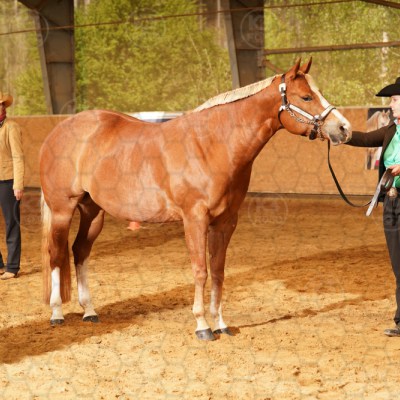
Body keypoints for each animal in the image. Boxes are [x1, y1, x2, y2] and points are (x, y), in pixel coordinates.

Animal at [40, 59, 352, 341]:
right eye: (306, 96)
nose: (344, 128)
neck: (211, 145)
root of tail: (58, 132)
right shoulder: (194, 220)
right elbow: (200, 271)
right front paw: (202, 325)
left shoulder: (225, 223)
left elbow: (218, 272)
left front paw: (221, 323)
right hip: (62, 210)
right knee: (56, 254)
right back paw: (56, 313)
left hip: (93, 212)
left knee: (80, 252)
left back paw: (89, 311)